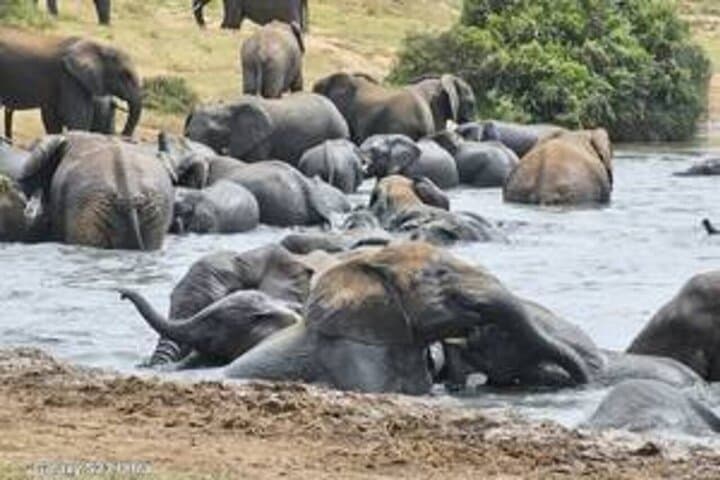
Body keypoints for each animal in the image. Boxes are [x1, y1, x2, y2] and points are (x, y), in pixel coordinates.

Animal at [0, 31, 142, 138]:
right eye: (126, 75)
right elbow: (77, 119)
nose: (122, 135)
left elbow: (54, 121)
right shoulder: (69, 78)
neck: (99, 46)